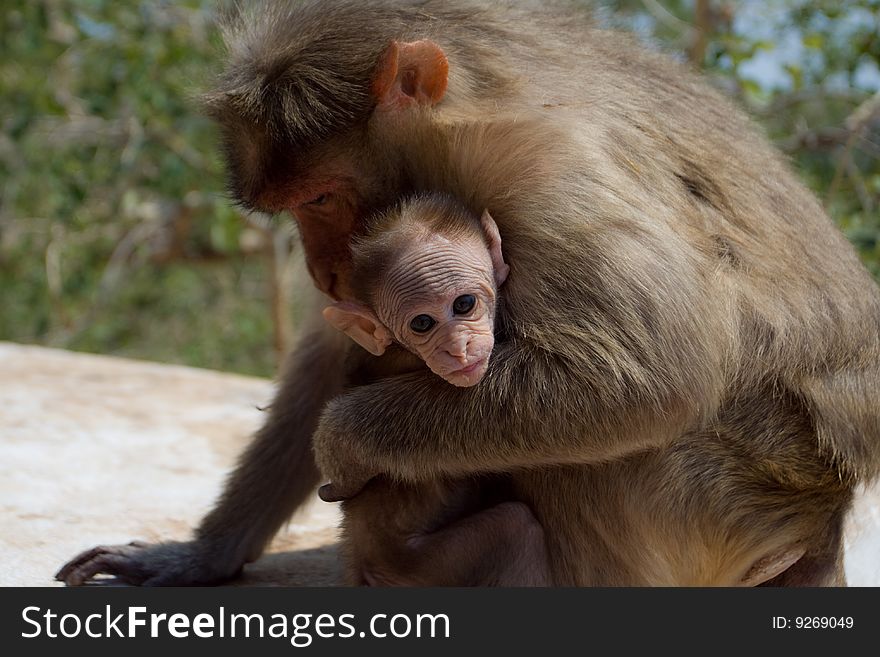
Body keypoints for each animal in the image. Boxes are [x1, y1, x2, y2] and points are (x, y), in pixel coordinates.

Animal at [58, 0, 876, 584]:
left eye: (318, 198)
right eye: (292, 209)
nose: (321, 266)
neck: (470, 107)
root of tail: (821, 528)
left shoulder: (544, 170)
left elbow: (652, 379)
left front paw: (344, 438)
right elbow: (331, 352)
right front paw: (199, 556)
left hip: (709, 506)